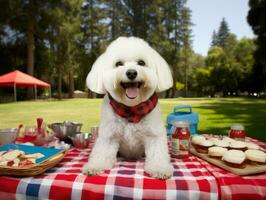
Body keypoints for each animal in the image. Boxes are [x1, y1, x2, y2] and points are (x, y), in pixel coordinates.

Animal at [83, 36, 175, 179]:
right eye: (118, 64)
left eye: (141, 62)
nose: (131, 73)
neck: (131, 110)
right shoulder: (108, 136)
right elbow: (102, 152)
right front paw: (95, 166)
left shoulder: (154, 135)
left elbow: (157, 154)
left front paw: (159, 168)